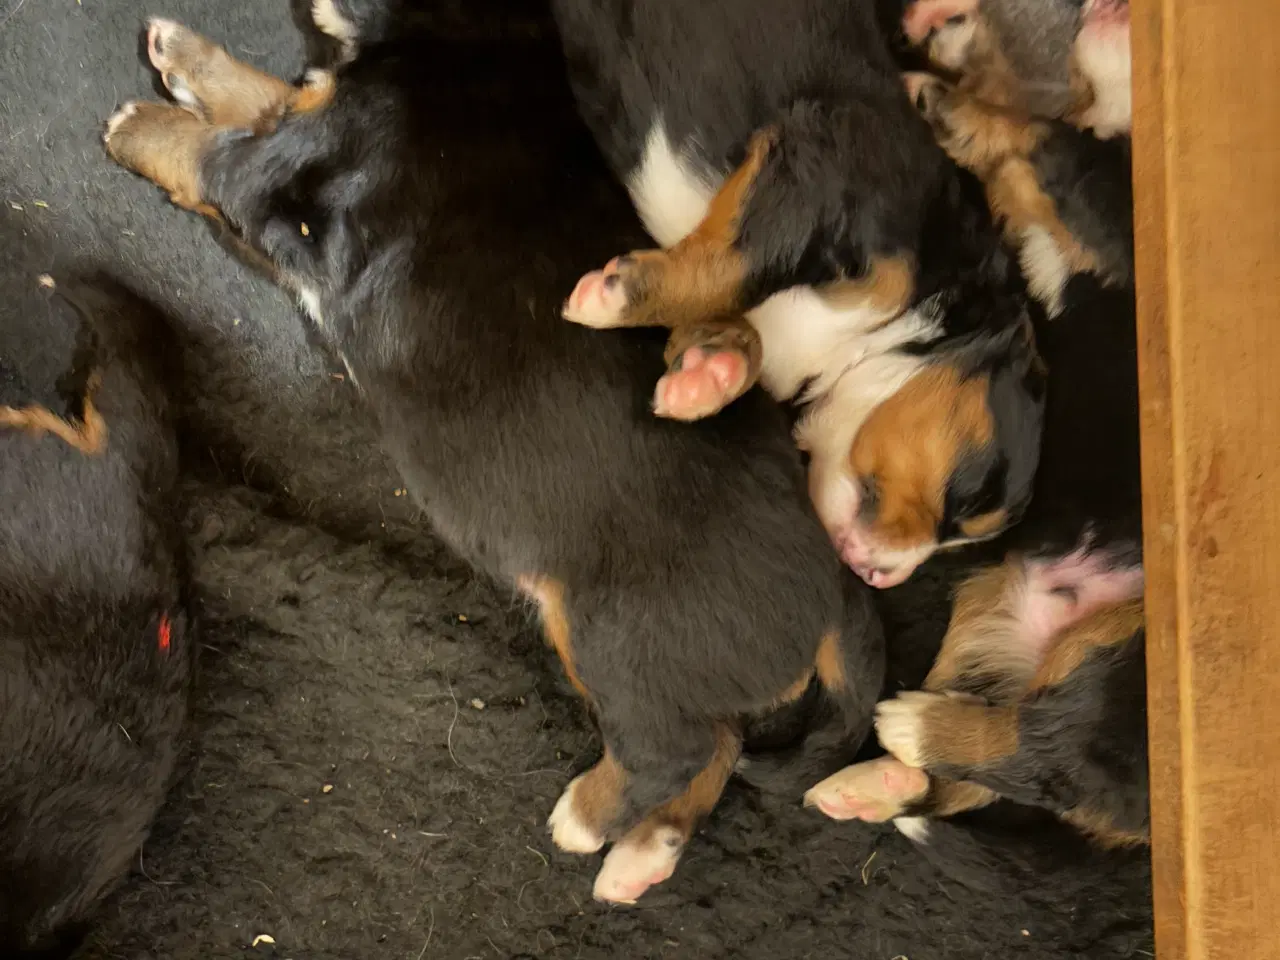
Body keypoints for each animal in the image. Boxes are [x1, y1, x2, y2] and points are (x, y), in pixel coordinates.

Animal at [99, 0, 885, 906]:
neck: (472, 36)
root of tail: (835, 590)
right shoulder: (312, 117)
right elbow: (263, 94)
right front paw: (184, 55)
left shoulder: (286, 173)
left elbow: (215, 150)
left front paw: (142, 127)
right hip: (621, 646)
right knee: (716, 746)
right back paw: (643, 853)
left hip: (619, 633)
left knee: (675, 749)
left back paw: (587, 818)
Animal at [552, 0, 1049, 591]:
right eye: (970, 502)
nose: (880, 578)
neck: (857, 345)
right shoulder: (830, 158)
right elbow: (740, 264)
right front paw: (617, 295)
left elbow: (738, 316)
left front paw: (709, 371)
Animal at [803, 67, 1146, 849]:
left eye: (966, 502)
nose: (878, 575)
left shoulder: (1099, 219)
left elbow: (1041, 146)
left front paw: (947, 103)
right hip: (990, 616)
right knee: (981, 779)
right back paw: (870, 786)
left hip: (1126, 659)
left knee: (1039, 752)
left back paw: (907, 727)